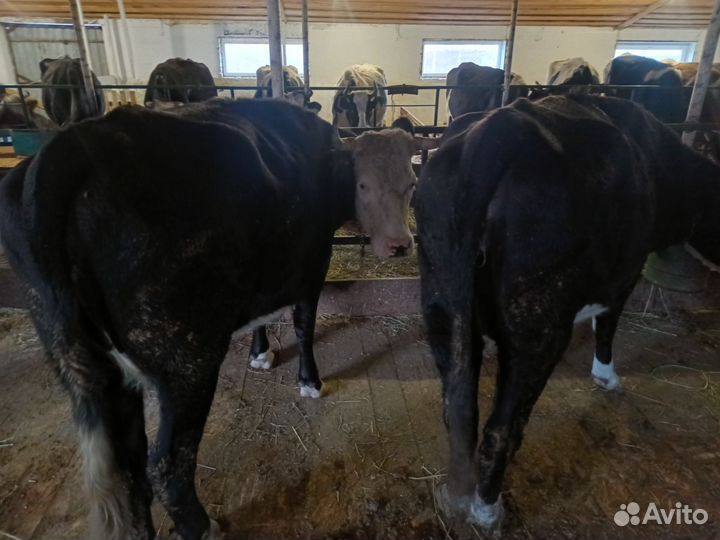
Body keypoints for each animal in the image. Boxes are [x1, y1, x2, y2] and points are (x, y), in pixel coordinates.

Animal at [0, 98, 438, 540]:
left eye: (411, 184)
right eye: (362, 185)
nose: (400, 245)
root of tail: (69, 147)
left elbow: (263, 317)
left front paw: (260, 354)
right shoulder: (312, 264)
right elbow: (304, 324)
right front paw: (309, 381)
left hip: (87, 368)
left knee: (130, 472)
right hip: (186, 362)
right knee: (166, 466)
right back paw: (202, 525)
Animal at [416, 94, 720, 531]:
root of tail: (500, 130)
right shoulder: (625, 273)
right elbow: (607, 324)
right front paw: (607, 376)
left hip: (441, 302)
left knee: (459, 411)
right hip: (538, 330)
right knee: (501, 431)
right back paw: (488, 510)